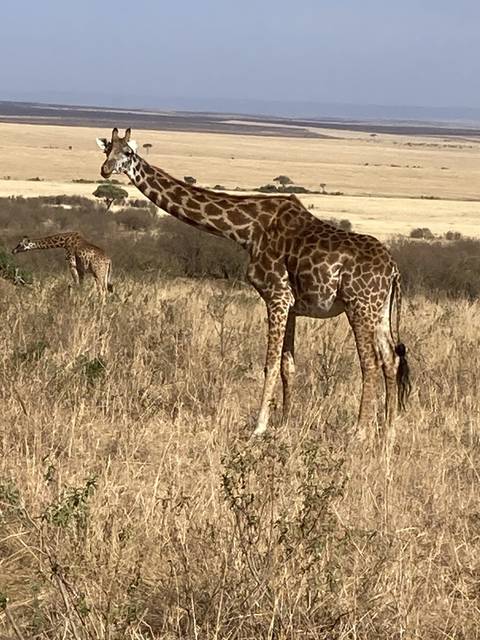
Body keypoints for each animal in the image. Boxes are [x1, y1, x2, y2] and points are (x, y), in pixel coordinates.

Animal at [97, 128, 411, 438]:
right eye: (107, 149)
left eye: (128, 153)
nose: (106, 170)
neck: (247, 230)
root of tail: (394, 269)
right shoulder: (291, 304)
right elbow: (287, 365)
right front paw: (284, 423)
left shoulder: (276, 295)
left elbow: (269, 364)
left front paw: (259, 427)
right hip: (379, 311)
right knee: (390, 359)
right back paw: (390, 430)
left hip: (359, 307)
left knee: (370, 363)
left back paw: (360, 432)